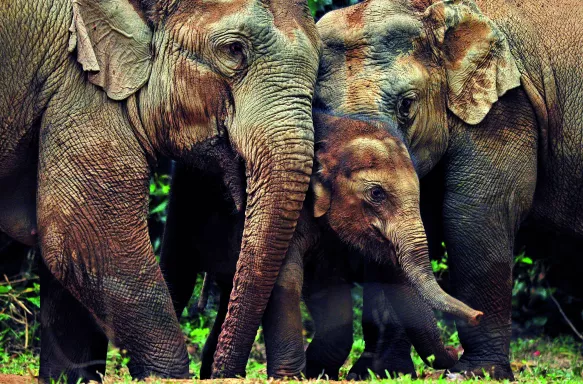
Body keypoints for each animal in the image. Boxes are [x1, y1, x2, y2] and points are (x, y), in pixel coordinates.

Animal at [160, 111, 480, 378]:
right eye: (376, 194)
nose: (478, 316)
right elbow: (286, 278)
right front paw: (290, 377)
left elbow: (329, 288)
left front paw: (318, 372)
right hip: (185, 195)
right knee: (178, 273)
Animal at [318, 0, 580, 378]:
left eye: (407, 104)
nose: (449, 362)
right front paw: (379, 373)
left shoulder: (506, 108)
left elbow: (473, 214)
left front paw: (476, 373)